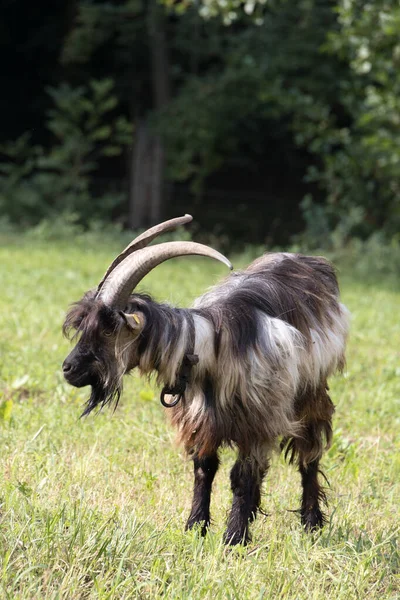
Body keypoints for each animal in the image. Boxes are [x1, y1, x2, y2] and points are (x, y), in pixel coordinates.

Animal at [61, 214, 348, 544]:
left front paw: (234, 538)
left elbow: (242, 476)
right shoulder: (202, 421)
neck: (208, 349)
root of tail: (310, 261)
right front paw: (196, 526)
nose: (68, 368)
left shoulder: (257, 421)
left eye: (108, 329)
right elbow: (204, 468)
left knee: (309, 455)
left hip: (310, 393)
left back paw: (311, 521)